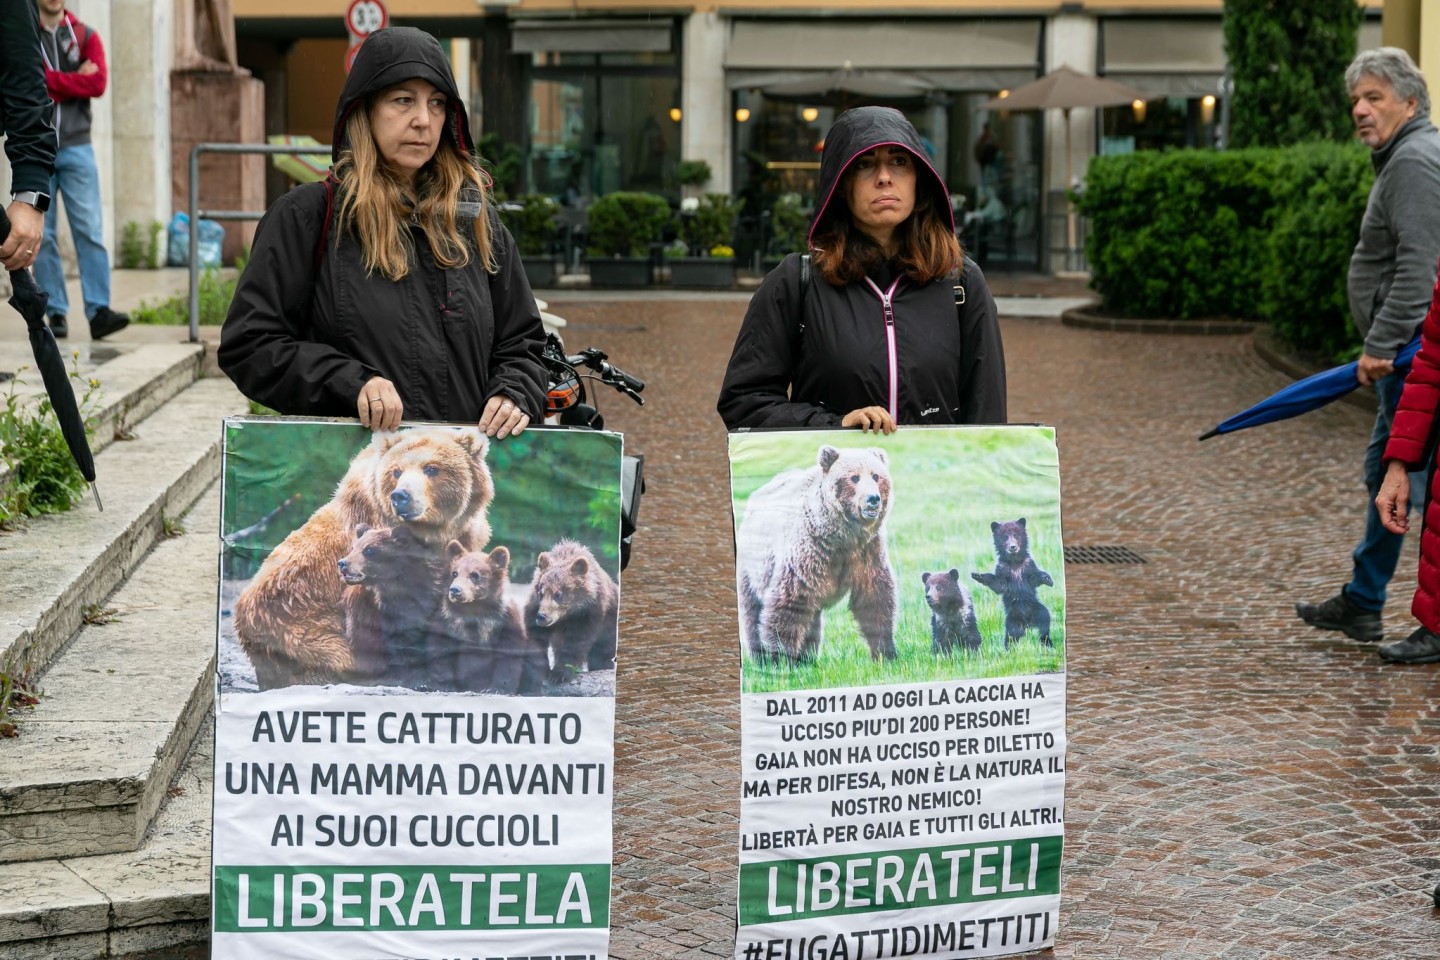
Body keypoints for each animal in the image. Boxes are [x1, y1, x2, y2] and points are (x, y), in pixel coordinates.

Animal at [230, 428, 489, 690]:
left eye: (431, 468)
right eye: (396, 471)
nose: (401, 496)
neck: (432, 534)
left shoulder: (463, 540)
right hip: (298, 624)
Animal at [737, 446, 892, 664]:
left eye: (876, 476)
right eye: (854, 477)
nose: (872, 498)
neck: (840, 538)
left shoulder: (866, 553)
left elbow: (874, 598)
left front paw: (885, 653)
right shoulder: (808, 554)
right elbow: (788, 604)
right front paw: (781, 661)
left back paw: (807, 658)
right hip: (753, 568)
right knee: (753, 611)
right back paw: (761, 658)